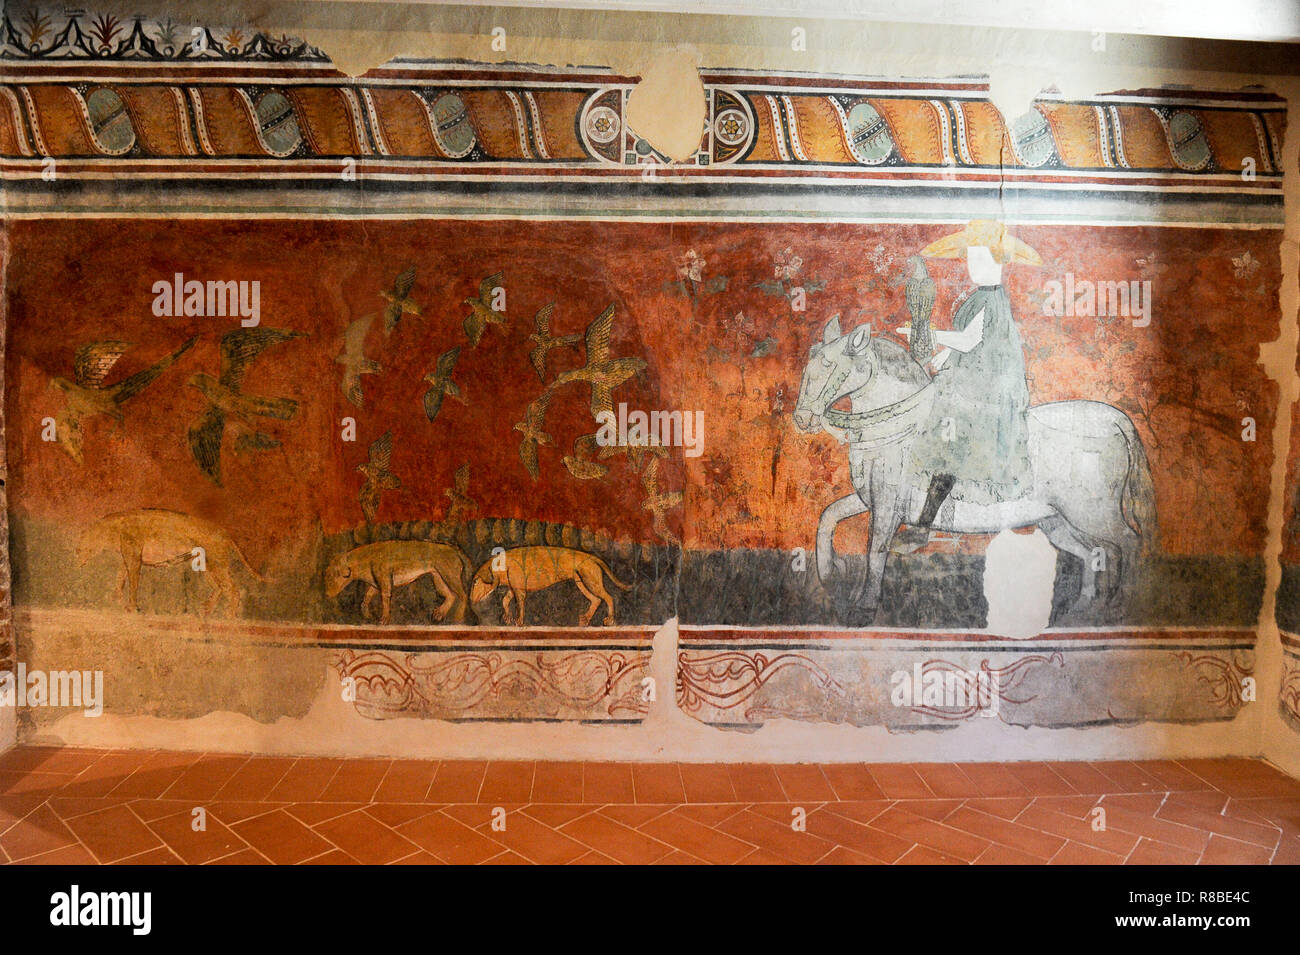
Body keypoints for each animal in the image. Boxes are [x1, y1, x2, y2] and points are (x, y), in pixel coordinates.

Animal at [785, 317, 1154, 621]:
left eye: (829, 364)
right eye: (810, 362)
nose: (802, 418)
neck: (898, 425)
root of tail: (1112, 419)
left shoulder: (888, 506)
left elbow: (875, 549)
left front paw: (865, 605)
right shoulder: (871, 499)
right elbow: (829, 516)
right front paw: (829, 571)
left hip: (1093, 513)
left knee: (1129, 542)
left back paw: (1123, 603)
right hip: (1058, 521)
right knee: (1093, 553)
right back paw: (1084, 606)